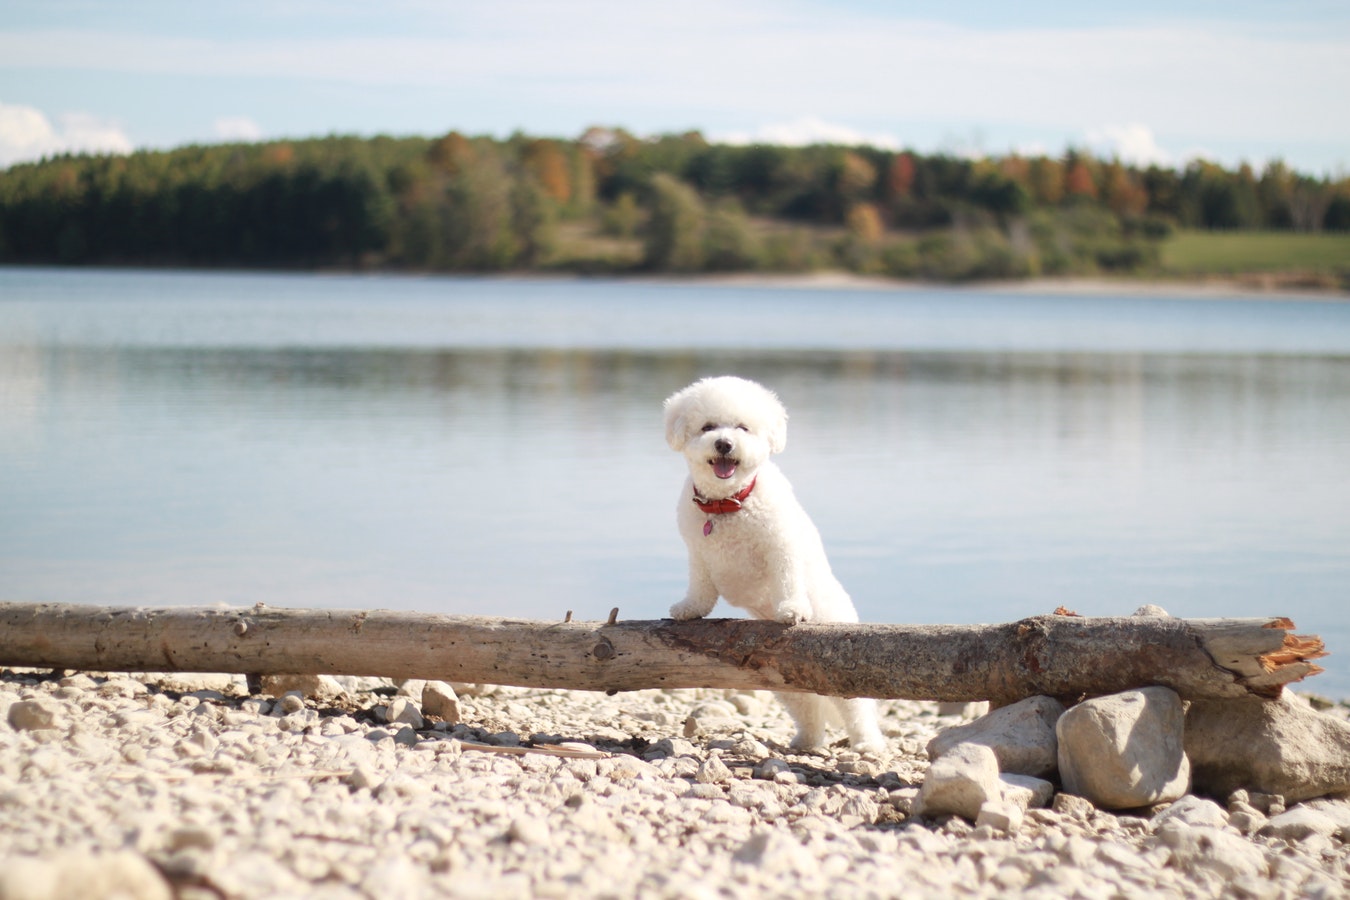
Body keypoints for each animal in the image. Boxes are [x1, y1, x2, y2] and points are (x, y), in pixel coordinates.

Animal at [664, 377, 885, 755]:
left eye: (742, 427)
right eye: (707, 427)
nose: (724, 443)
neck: (729, 503)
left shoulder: (782, 548)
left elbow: (787, 581)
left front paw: (792, 610)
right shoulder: (698, 553)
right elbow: (700, 585)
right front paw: (690, 608)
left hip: (840, 666)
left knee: (856, 708)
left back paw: (867, 744)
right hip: (781, 675)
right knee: (808, 706)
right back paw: (807, 742)